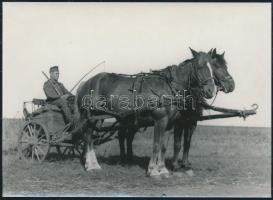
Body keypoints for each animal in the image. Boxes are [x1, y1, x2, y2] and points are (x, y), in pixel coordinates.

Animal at [74, 47, 217, 177]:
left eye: (213, 67)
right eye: (200, 66)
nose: (210, 91)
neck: (169, 88)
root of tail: (85, 83)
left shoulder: (169, 123)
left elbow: (163, 146)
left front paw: (163, 169)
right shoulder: (160, 120)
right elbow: (156, 144)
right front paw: (153, 170)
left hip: (97, 117)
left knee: (90, 138)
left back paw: (94, 164)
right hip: (91, 116)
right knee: (88, 137)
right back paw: (91, 165)